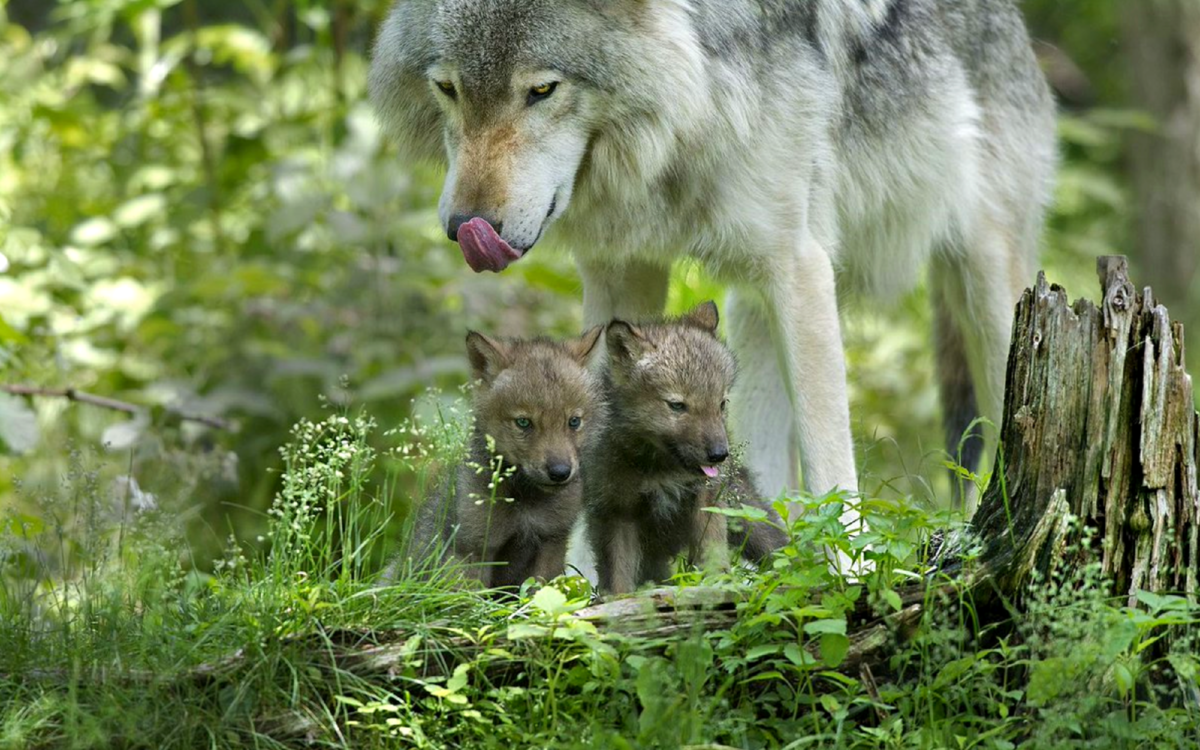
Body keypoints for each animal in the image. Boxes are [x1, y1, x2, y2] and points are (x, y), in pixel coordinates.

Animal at [369, 0, 1056, 508]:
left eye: (541, 89)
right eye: (448, 88)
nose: (464, 227)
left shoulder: (800, 266)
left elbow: (833, 468)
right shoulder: (622, 272)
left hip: (991, 294)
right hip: (748, 315)